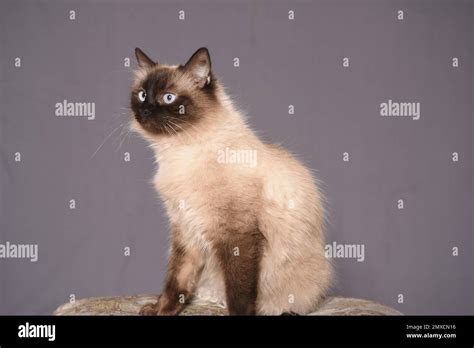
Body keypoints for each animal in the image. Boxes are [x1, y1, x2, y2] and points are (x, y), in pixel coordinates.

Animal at [128, 47, 332, 316]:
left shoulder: (235, 234)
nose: (145, 111)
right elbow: (176, 281)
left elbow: (239, 291)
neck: (177, 152)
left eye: (168, 98)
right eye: (142, 95)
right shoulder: (185, 228)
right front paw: (160, 310)